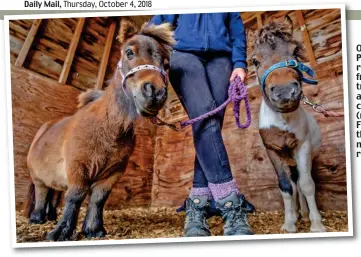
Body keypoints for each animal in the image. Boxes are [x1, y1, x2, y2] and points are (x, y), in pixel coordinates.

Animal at [25, 19, 174, 240]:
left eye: (166, 64)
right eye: (129, 52)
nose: (155, 92)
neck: (108, 128)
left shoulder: (112, 174)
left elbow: (98, 199)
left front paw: (93, 230)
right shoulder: (77, 168)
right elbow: (75, 196)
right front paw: (61, 232)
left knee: (53, 192)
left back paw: (50, 216)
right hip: (37, 177)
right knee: (42, 191)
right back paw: (37, 218)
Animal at [250, 16, 326, 232]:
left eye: (294, 52)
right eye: (255, 60)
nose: (284, 91)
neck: (282, 122)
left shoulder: (302, 147)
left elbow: (307, 184)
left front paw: (317, 224)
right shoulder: (272, 152)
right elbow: (285, 188)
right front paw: (289, 224)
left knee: (301, 183)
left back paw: (306, 215)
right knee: (294, 185)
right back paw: (298, 215)